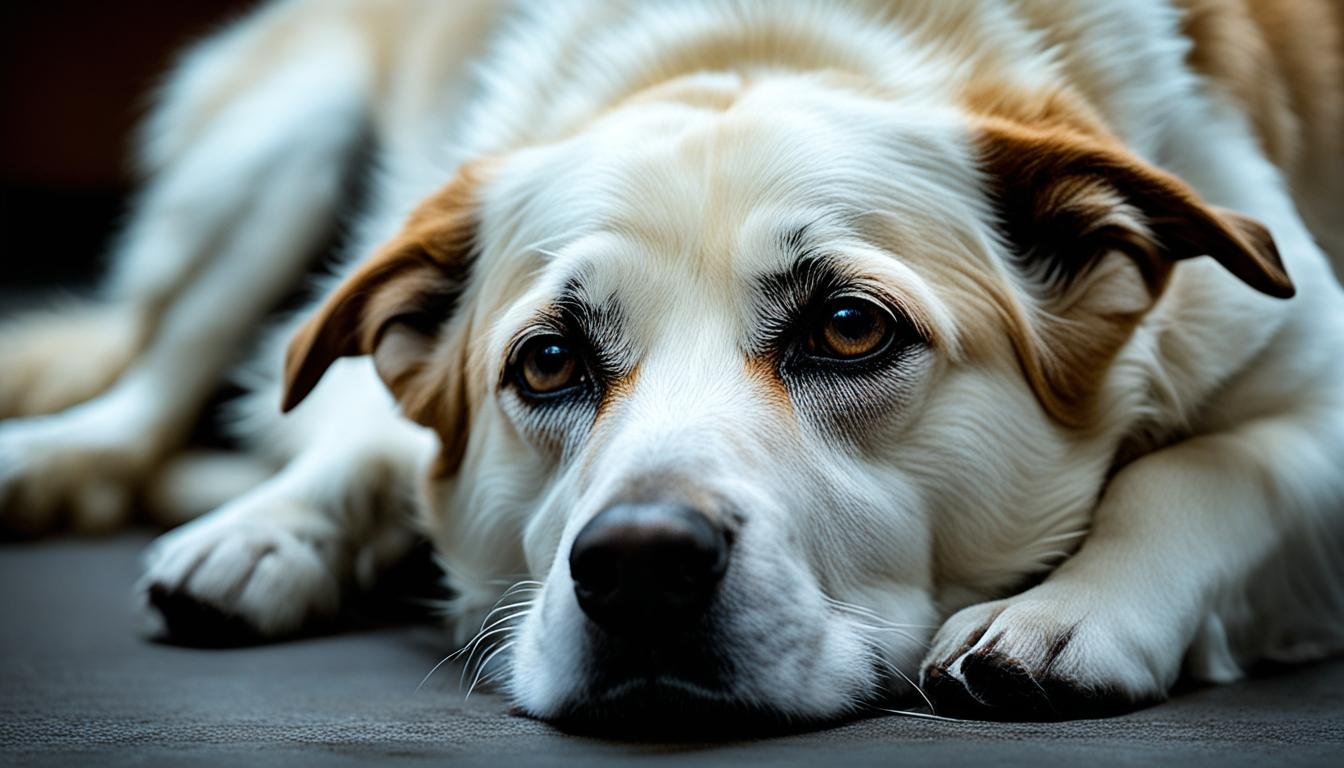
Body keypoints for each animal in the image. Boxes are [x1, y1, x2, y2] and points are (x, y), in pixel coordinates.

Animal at [2, 0, 1344, 731]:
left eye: (851, 329)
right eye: (547, 362)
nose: (640, 567)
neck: (760, 34)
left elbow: (1204, 472)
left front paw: (1068, 611)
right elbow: (370, 440)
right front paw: (286, 526)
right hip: (281, 149)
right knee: (149, 393)